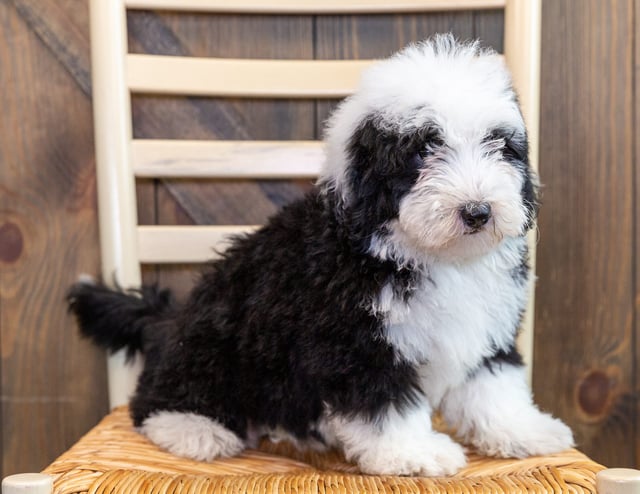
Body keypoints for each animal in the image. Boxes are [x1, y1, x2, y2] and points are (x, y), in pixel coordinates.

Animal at [70, 36, 576, 476]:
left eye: (501, 147)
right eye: (422, 152)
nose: (477, 211)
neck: (431, 255)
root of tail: (168, 321)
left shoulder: (486, 331)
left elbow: (494, 386)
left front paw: (522, 429)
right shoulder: (357, 343)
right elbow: (384, 404)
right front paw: (413, 453)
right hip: (211, 343)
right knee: (155, 400)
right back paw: (195, 430)